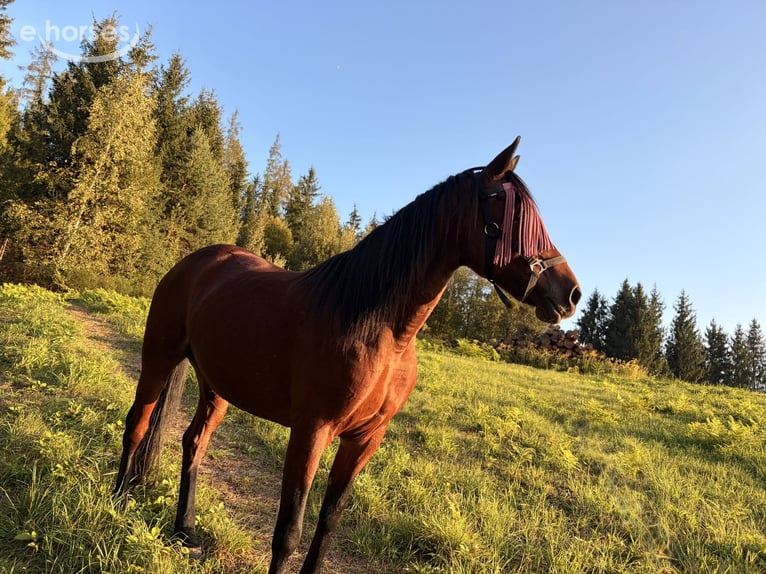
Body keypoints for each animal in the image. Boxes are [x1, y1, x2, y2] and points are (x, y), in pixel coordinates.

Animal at [114, 138, 581, 573]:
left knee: (194, 442)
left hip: (218, 385)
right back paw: (117, 503)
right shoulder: (312, 431)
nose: (570, 293)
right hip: (158, 360)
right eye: (513, 216)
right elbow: (289, 530)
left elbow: (329, 520)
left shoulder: (365, 438)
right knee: (137, 425)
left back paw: (185, 531)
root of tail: (196, 262)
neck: (382, 330)